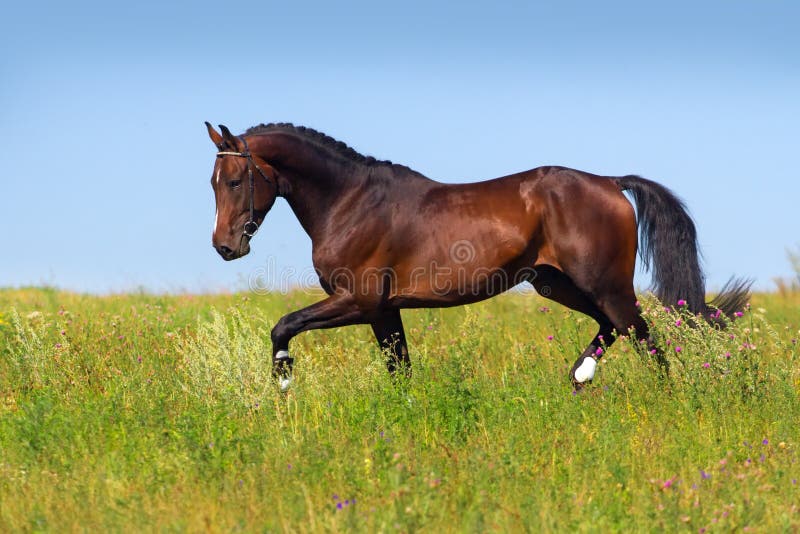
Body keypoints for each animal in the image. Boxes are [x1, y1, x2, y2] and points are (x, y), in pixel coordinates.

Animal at [206, 122, 750, 390]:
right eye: (213, 182)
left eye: (234, 181)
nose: (225, 247)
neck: (351, 201)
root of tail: (610, 182)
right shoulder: (383, 311)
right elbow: (400, 370)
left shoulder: (357, 301)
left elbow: (284, 325)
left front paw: (283, 382)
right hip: (557, 283)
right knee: (614, 329)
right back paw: (578, 377)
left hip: (604, 284)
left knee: (645, 338)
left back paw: (660, 400)